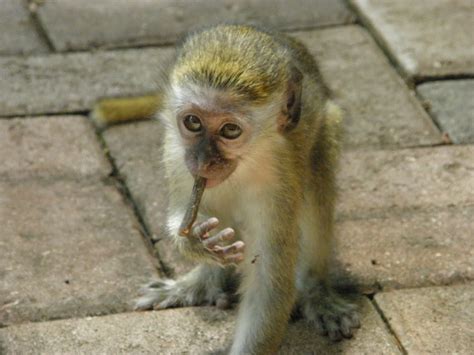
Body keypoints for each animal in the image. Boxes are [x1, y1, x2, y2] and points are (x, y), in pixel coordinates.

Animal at [133, 23, 360, 354]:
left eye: (230, 130)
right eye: (193, 122)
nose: (203, 160)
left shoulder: (279, 179)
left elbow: (269, 282)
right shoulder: (175, 154)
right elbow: (183, 212)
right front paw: (194, 241)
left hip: (324, 132)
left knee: (317, 190)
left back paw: (316, 290)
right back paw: (201, 282)